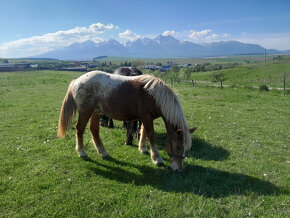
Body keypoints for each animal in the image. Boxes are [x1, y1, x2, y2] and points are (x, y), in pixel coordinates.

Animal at [57, 70, 196, 171]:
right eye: (177, 146)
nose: (179, 169)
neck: (153, 95)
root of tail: (77, 81)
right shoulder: (147, 117)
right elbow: (151, 135)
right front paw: (157, 159)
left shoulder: (145, 118)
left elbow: (143, 133)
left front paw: (143, 149)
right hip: (86, 112)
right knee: (80, 129)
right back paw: (82, 152)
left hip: (95, 112)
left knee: (94, 130)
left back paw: (103, 152)